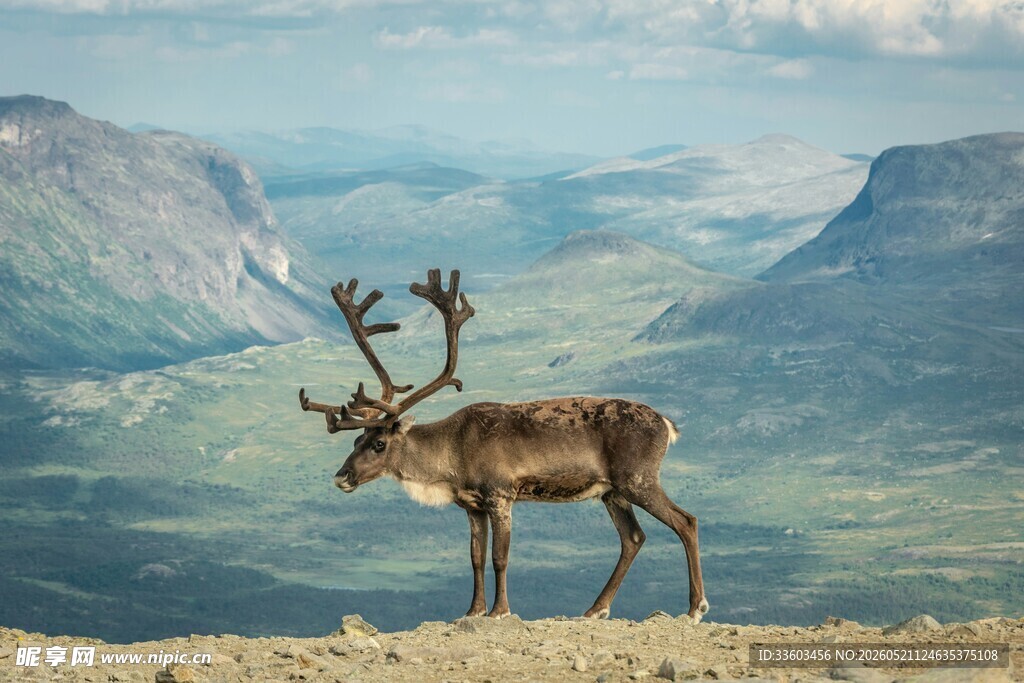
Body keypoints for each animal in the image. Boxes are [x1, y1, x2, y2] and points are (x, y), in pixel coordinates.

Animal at [298, 269, 709, 622]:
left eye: (380, 442)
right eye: (357, 438)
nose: (341, 476)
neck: (452, 453)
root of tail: (666, 424)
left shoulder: (500, 495)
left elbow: (500, 557)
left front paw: (499, 610)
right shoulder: (471, 506)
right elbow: (475, 558)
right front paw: (472, 610)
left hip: (637, 479)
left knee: (685, 521)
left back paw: (694, 608)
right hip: (612, 492)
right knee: (633, 537)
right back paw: (596, 609)